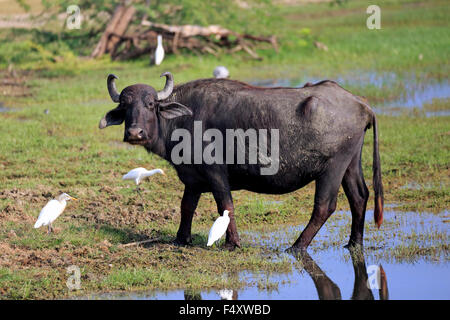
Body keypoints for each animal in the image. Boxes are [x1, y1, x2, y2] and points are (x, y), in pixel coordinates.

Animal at [99, 71, 384, 251]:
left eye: (150, 104)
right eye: (124, 106)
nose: (135, 133)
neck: (184, 120)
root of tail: (361, 104)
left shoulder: (215, 173)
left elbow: (226, 206)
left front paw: (232, 243)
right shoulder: (192, 179)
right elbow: (186, 206)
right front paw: (181, 239)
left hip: (332, 168)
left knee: (325, 206)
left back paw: (296, 247)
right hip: (351, 163)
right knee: (359, 196)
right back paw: (354, 243)